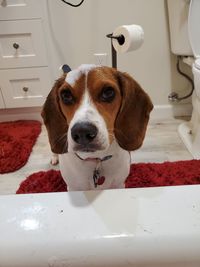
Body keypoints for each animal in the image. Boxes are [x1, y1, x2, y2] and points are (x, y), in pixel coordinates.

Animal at [41, 64, 152, 192]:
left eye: (108, 92)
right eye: (66, 95)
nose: (82, 132)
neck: (96, 160)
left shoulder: (119, 185)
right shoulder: (73, 188)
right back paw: (55, 157)